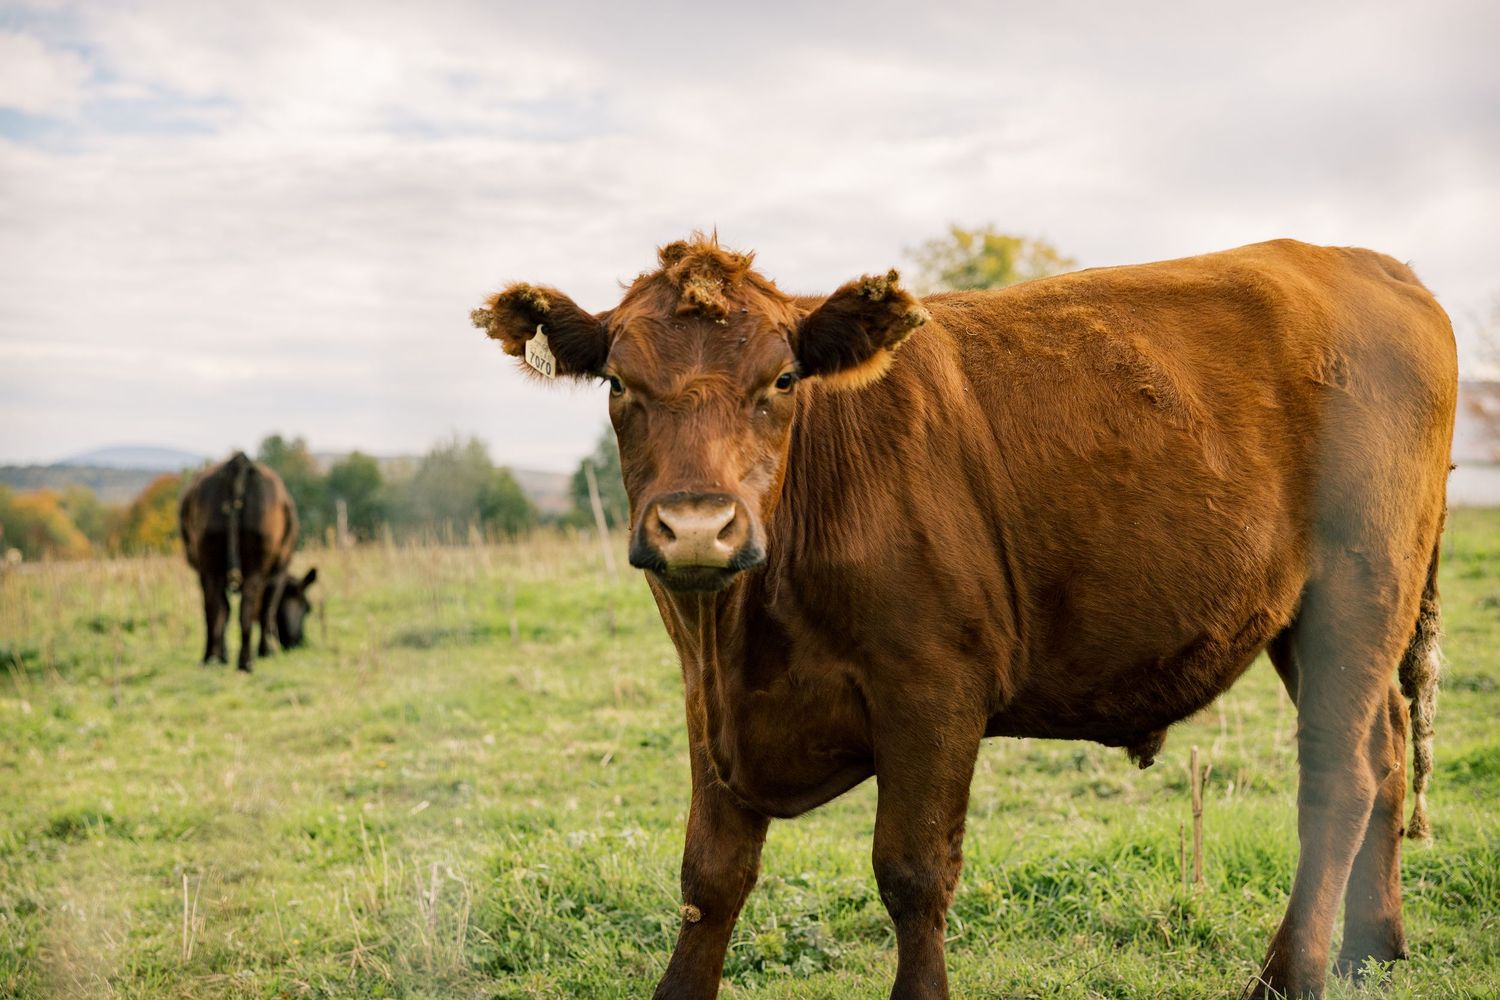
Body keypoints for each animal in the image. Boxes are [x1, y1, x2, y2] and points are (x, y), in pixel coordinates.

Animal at [179, 452, 316, 671]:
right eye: (307, 608)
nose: (298, 643)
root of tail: (239, 462)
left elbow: (224, 611)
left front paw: (222, 655)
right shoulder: (278, 572)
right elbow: (267, 610)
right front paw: (265, 651)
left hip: (209, 563)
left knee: (213, 608)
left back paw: (210, 657)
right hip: (254, 564)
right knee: (247, 609)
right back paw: (246, 661)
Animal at [473, 235, 1455, 999]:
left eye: (782, 378)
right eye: (617, 384)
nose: (696, 527)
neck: (742, 636)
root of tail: (1369, 264)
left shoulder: (933, 687)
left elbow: (912, 873)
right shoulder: (705, 702)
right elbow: (709, 876)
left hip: (1359, 591)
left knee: (1339, 778)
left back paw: (1289, 977)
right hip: (1313, 620)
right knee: (1382, 754)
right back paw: (1373, 950)